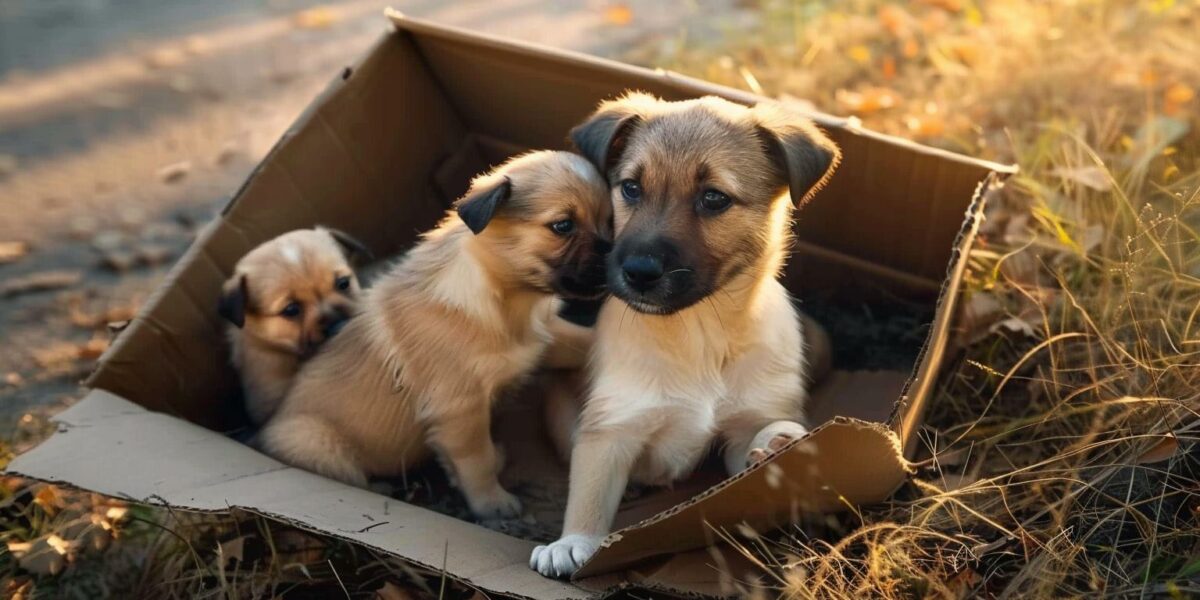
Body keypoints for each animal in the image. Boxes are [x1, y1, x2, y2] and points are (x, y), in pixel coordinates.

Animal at [253, 151, 609, 520]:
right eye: (563, 226)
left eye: (611, 218)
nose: (615, 257)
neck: (500, 301)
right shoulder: (460, 410)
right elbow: (478, 462)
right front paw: (492, 503)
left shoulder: (545, 340)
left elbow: (586, 339)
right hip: (315, 441)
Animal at [530, 92, 840, 576]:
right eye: (631, 188)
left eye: (713, 198)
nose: (637, 272)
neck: (699, 332)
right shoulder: (611, 428)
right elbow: (590, 494)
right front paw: (572, 543)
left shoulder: (742, 431)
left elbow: (757, 443)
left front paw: (778, 443)